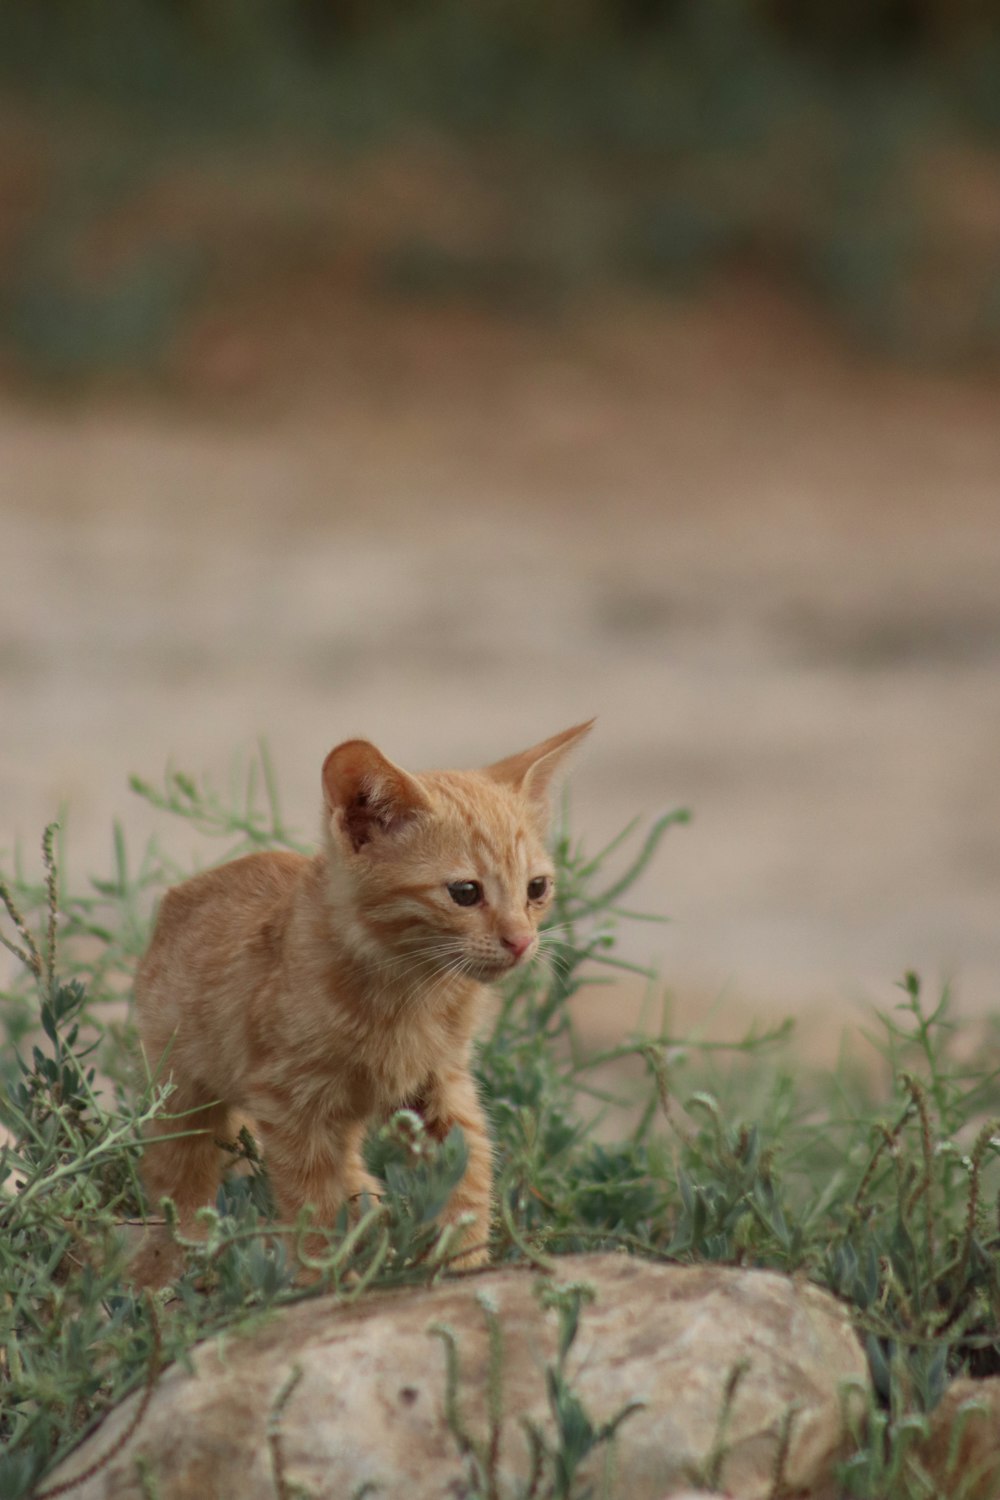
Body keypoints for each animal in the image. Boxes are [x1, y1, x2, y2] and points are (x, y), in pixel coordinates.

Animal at [128, 720, 590, 1284]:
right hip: (181, 1086)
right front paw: (323, 1282)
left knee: (351, 1173)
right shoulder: (289, 1104)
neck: (409, 990)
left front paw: (463, 1263)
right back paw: (184, 1256)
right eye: (465, 892)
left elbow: (467, 1174)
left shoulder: (442, 1082)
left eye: (537, 888)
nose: (522, 941)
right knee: (177, 1172)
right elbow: (313, 1203)